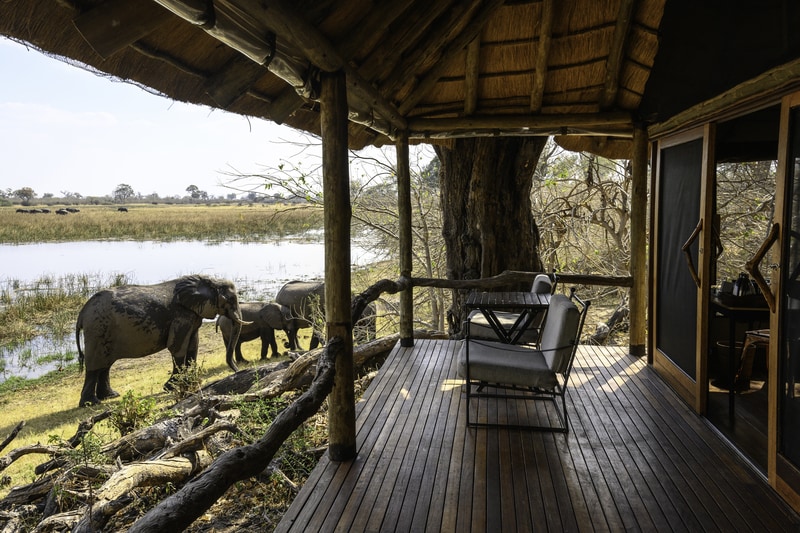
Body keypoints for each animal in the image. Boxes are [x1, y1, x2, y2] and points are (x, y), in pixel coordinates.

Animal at [75, 276, 245, 406]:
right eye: (231, 299)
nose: (237, 371)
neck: (207, 280)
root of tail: (82, 313)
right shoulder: (181, 315)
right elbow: (177, 347)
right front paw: (171, 387)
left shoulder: (193, 314)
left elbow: (193, 346)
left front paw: (190, 383)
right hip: (98, 329)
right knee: (95, 366)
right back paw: (91, 403)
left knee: (105, 365)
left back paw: (110, 396)